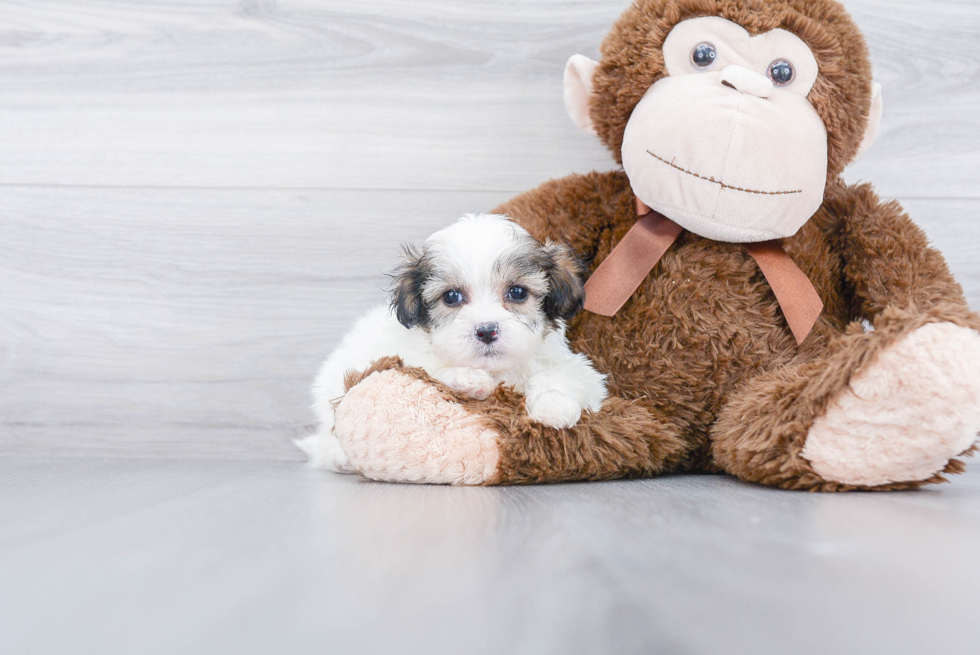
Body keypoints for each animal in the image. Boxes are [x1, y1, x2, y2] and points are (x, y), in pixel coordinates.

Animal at [294, 214, 608, 472]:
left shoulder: (579, 370)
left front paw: (553, 406)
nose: (486, 331)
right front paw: (469, 378)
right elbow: (427, 370)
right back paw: (339, 456)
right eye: (451, 297)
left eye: (518, 292)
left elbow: (560, 375)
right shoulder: (407, 357)